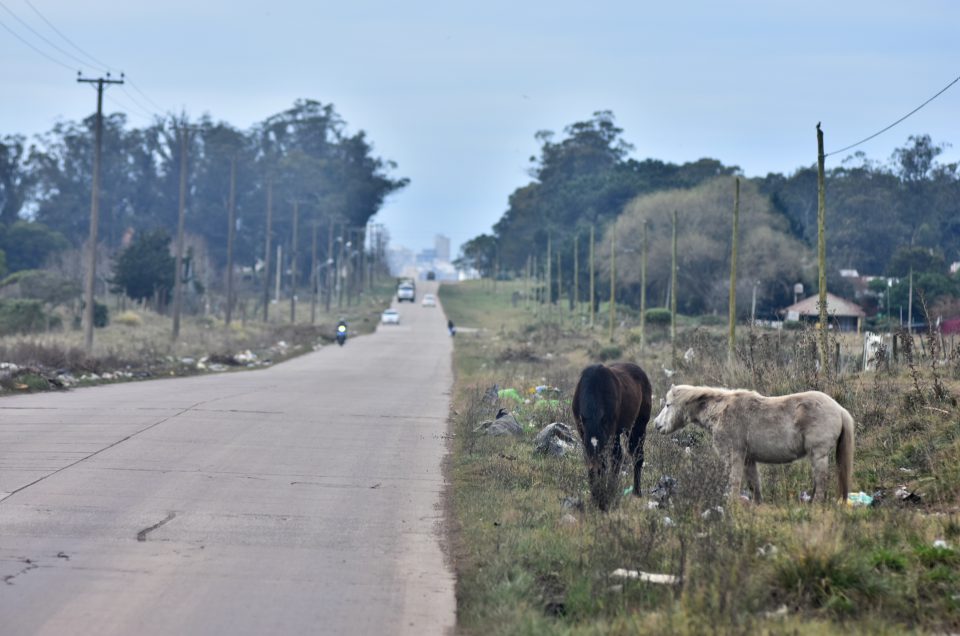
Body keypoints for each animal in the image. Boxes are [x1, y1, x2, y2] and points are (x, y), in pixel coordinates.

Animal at [568, 362, 652, 512]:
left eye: (601, 448)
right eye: (588, 448)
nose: (595, 469)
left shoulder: (609, 434)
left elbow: (608, 462)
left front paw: (602, 495)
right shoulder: (583, 432)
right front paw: (595, 495)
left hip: (637, 427)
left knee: (636, 456)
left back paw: (636, 492)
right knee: (619, 456)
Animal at [652, 386, 856, 504]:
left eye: (668, 405)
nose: (656, 424)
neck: (720, 412)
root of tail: (839, 409)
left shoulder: (734, 456)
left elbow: (733, 482)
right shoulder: (748, 459)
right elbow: (754, 485)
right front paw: (757, 505)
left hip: (818, 455)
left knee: (821, 481)